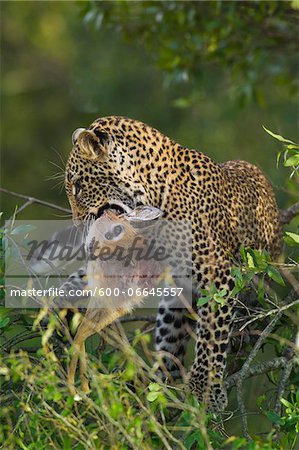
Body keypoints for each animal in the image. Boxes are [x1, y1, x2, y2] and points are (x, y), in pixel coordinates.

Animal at [64, 114, 282, 410]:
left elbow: (211, 334)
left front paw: (204, 389)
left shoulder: (217, 276)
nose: (77, 224)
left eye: (78, 186)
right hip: (172, 307)